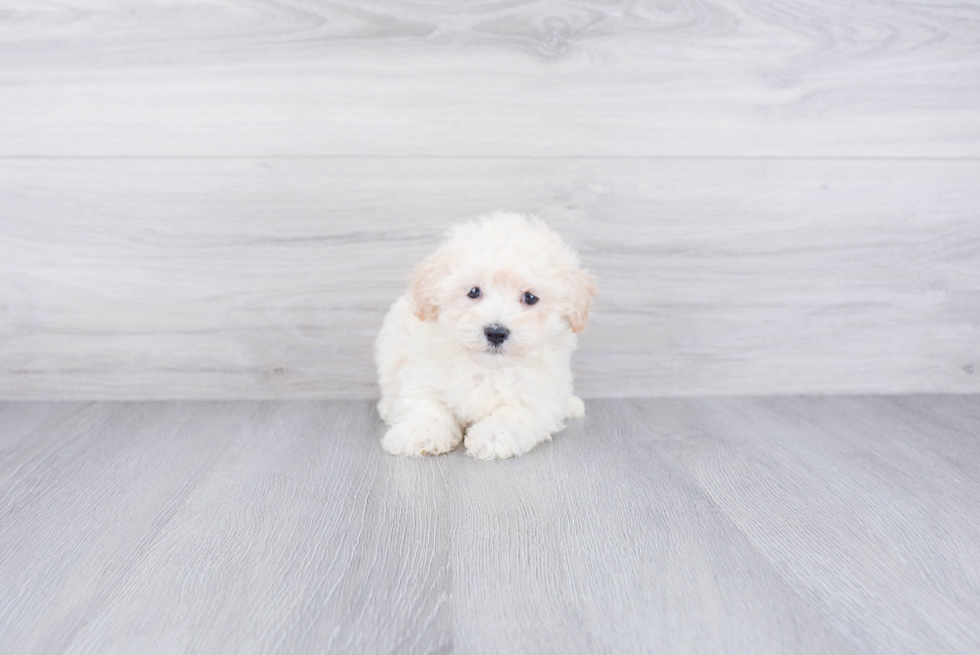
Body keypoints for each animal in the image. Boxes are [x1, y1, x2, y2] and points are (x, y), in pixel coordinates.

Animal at [374, 213, 596, 458]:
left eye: (530, 297)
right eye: (474, 292)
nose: (496, 332)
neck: (488, 369)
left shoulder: (538, 397)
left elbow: (514, 413)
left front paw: (493, 435)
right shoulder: (424, 375)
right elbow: (427, 405)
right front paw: (420, 432)